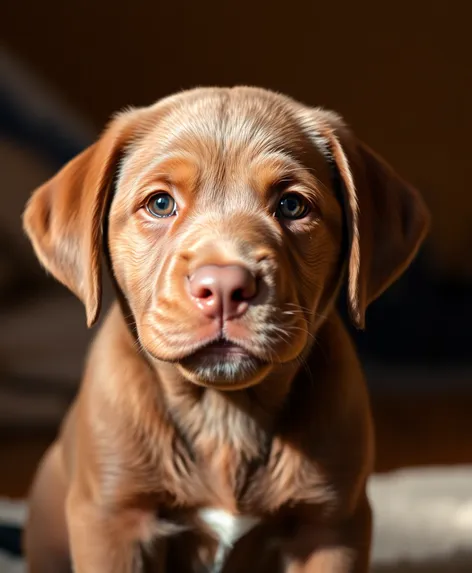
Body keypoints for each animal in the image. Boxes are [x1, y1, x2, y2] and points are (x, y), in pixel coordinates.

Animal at [22, 86, 430, 572]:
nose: (223, 287)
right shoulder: (112, 519)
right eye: (160, 203)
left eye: (292, 205)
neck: (225, 417)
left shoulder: (331, 524)